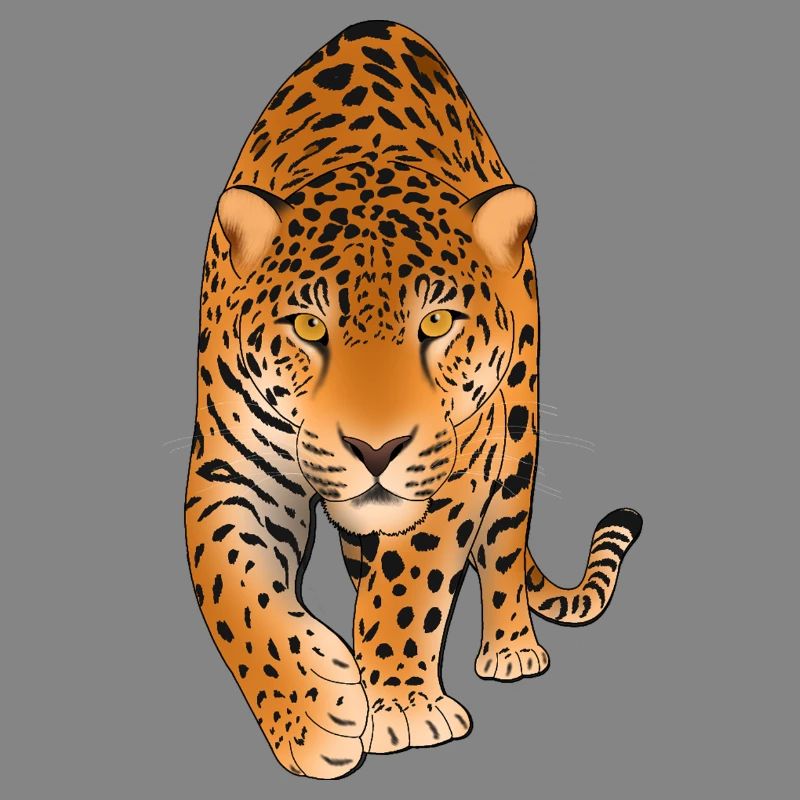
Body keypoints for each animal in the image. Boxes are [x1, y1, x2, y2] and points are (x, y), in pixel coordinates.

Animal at [184, 19, 642, 779]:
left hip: (517, 430)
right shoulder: (231, 466)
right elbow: (233, 587)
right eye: (310, 327)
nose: (376, 450)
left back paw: (511, 647)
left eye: (436, 322)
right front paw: (314, 713)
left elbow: (410, 580)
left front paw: (399, 704)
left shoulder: (459, 464)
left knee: (505, 545)